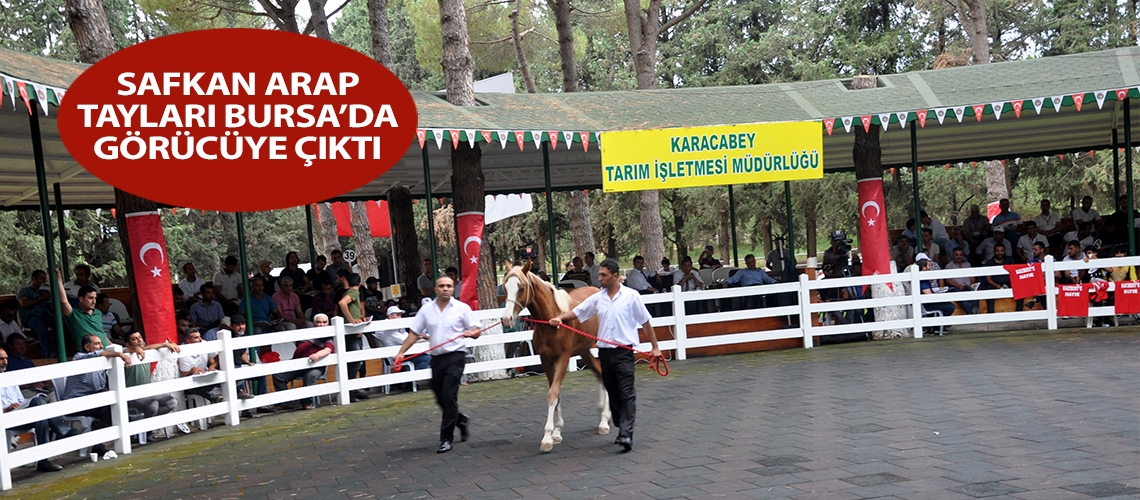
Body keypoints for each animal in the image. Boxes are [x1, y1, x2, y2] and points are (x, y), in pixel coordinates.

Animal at [497, 261, 606, 453]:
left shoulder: (562, 359)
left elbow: (552, 394)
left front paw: (547, 438)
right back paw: (602, 417)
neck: (552, 320)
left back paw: (605, 421)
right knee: (599, 374)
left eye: (521, 287)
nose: (507, 319)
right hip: (585, 352)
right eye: (505, 287)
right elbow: (556, 395)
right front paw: (557, 432)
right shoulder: (546, 361)